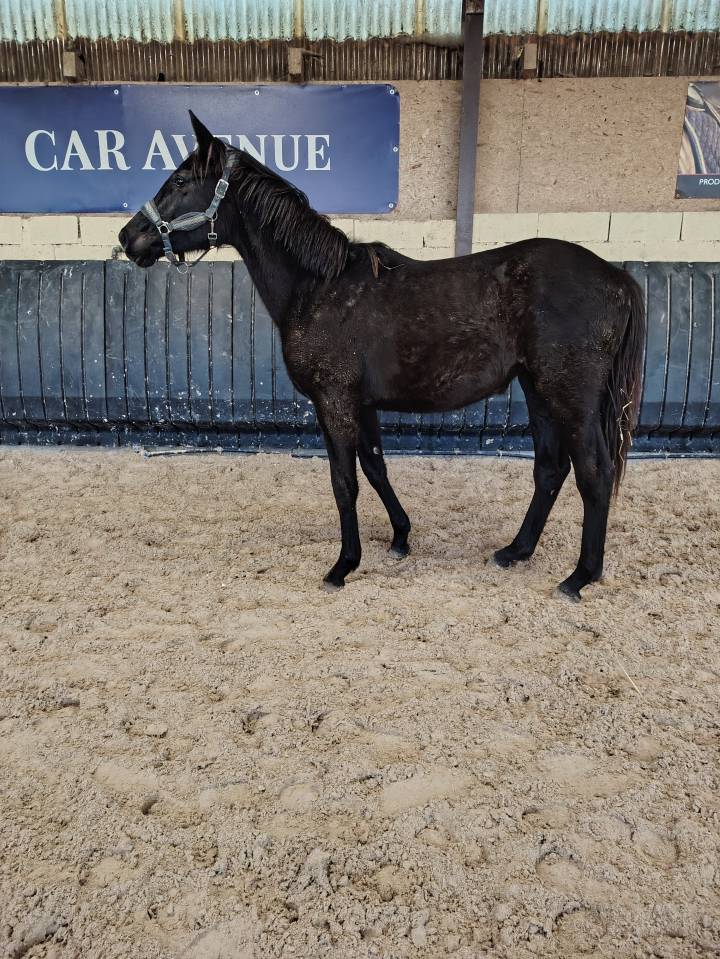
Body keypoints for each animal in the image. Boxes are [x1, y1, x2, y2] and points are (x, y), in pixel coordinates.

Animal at [119, 112, 645, 601]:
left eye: (180, 181)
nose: (129, 237)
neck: (319, 287)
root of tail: (616, 277)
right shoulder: (363, 403)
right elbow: (375, 466)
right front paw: (400, 537)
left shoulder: (333, 401)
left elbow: (343, 482)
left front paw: (343, 566)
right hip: (538, 390)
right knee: (550, 469)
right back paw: (515, 551)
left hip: (570, 396)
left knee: (594, 473)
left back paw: (579, 577)